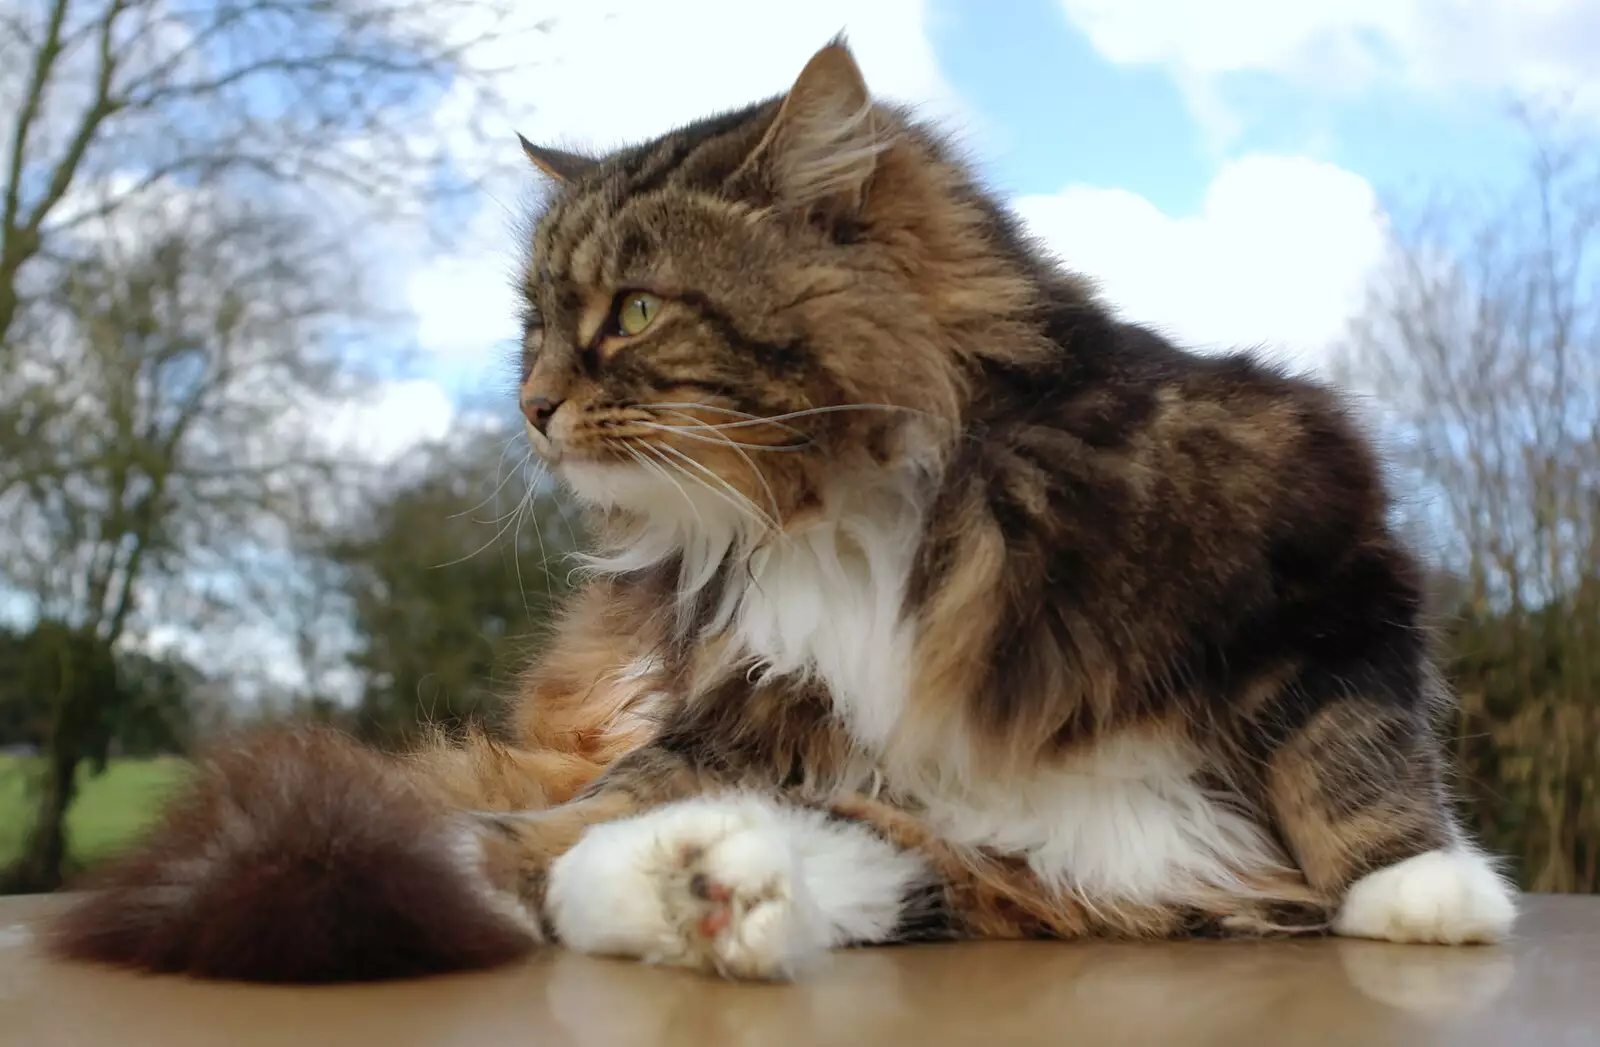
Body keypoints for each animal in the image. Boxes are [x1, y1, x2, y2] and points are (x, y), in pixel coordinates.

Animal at [56, 39, 1516, 986]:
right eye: (535, 324)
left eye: (635, 310)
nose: (528, 402)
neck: (859, 522)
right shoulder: (781, 724)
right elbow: (605, 815)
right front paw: (548, 879)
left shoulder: (1317, 542)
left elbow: (1350, 746)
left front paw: (1419, 888)